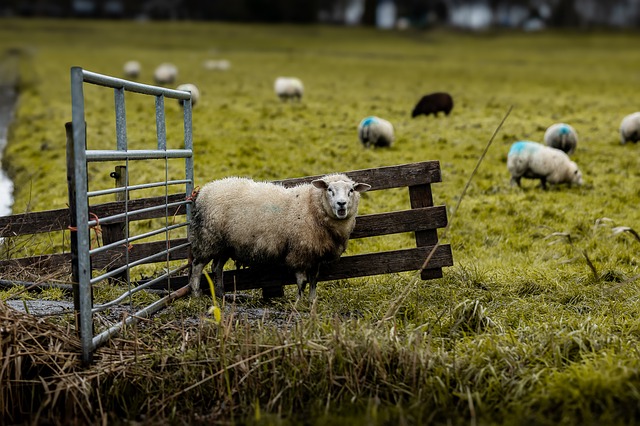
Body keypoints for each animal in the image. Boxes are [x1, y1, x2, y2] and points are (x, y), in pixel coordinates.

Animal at [188, 174, 371, 301]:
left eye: (351, 191)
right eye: (329, 190)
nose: (341, 204)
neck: (312, 207)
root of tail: (204, 191)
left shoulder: (315, 254)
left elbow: (314, 280)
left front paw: (312, 301)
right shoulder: (299, 252)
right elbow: (302, 281)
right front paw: (299, 301)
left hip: (225, 244)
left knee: (216, 267)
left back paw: (221, 294)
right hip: (208, 239)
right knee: (197, 266)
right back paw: (196, 294)